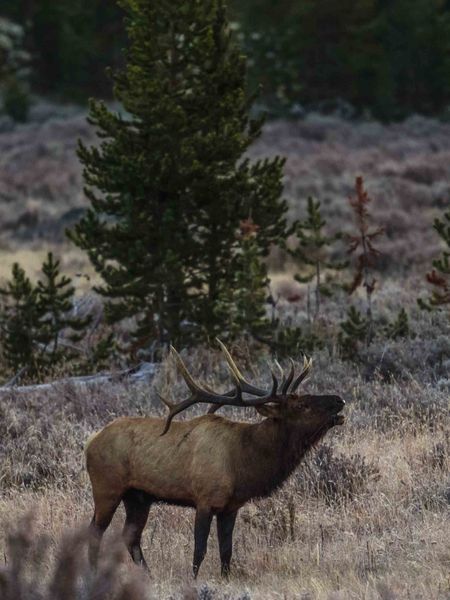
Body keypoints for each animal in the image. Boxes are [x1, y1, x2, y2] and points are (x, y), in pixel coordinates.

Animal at [84, 338, 344, 576]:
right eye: (302, 405)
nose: (340, 400)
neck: (244, 463)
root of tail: (90, 443)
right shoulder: (205, 498)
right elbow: (199, 550)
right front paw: (194, 581)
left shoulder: (231, 507)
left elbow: (226, 551)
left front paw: (225, 578)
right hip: (107, 488)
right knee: (95, 531)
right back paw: (92, 574)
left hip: (138, 497)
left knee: (131, 537)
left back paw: (148, 576)